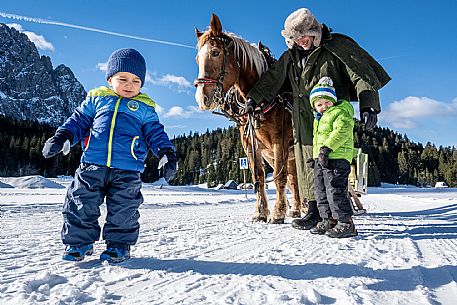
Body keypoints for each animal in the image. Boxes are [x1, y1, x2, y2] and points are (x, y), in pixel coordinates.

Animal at [193, 13, 302, 223]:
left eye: (215, 52)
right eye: (197, 59)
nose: (202, 98)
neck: (259, 100)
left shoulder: (280, 141)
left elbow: (279, 176)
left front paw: (278, 212)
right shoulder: (250, 144)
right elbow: (258, 176)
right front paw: (261, 212)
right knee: (294, 179)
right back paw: (298, 208)